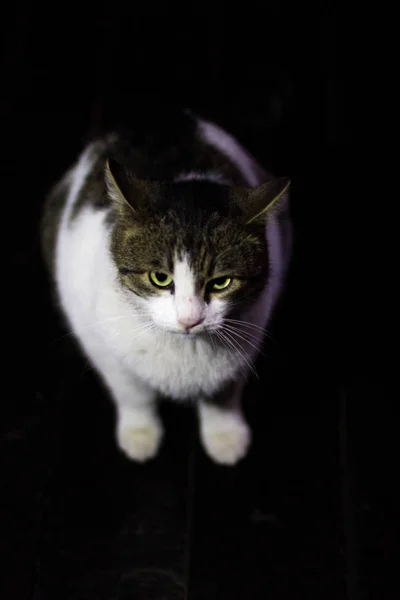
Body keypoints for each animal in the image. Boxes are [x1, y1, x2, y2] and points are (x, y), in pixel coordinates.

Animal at [41, 110, 290, 466]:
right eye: (160, 278)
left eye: (221, 282)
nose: (190, 319)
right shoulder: (98, 340)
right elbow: (131, 392)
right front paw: (141, 434)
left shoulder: (248, 334)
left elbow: (224, 392)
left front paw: (224, 436)